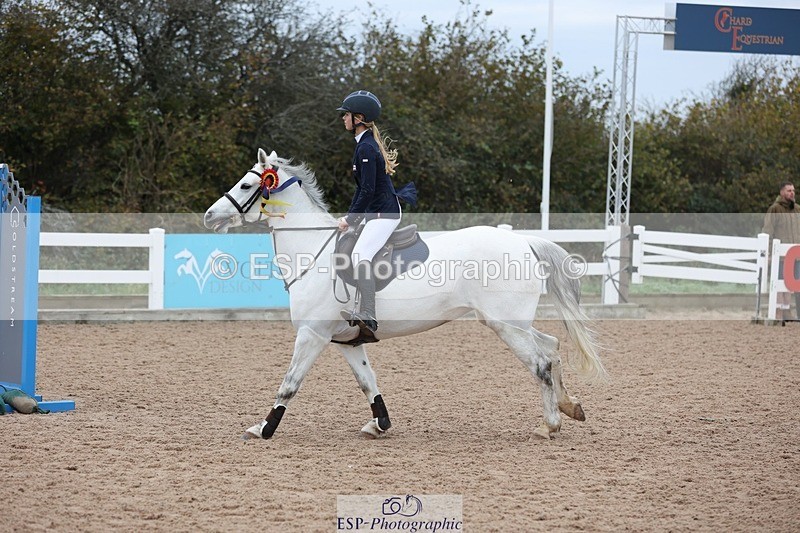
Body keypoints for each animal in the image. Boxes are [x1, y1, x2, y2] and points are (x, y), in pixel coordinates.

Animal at [204, 148, 606, 440]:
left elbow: (289, 384)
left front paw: (263, 428)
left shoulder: (312, 334)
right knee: (552, 346)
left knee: (540, 364)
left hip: (506, 324)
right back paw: (570, 407)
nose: (209, 216)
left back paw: (548, 426)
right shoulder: (345, 340)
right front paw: (378, 425)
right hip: (513, 322)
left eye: (245, 185)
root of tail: (523, 240)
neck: (313, 248)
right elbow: (368, 383)